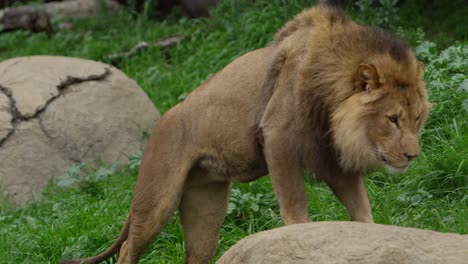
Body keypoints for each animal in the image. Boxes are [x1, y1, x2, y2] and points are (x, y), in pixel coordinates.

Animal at [63, 0, 432, 264]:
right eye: (392, 119)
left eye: (417, 119)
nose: (413, 155)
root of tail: (162, 120)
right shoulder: (278, 136)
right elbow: (294, 202)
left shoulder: (331, 156)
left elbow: (361, 207)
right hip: (157, 199)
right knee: (129, 248)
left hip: (206, 211)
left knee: (195, 253)